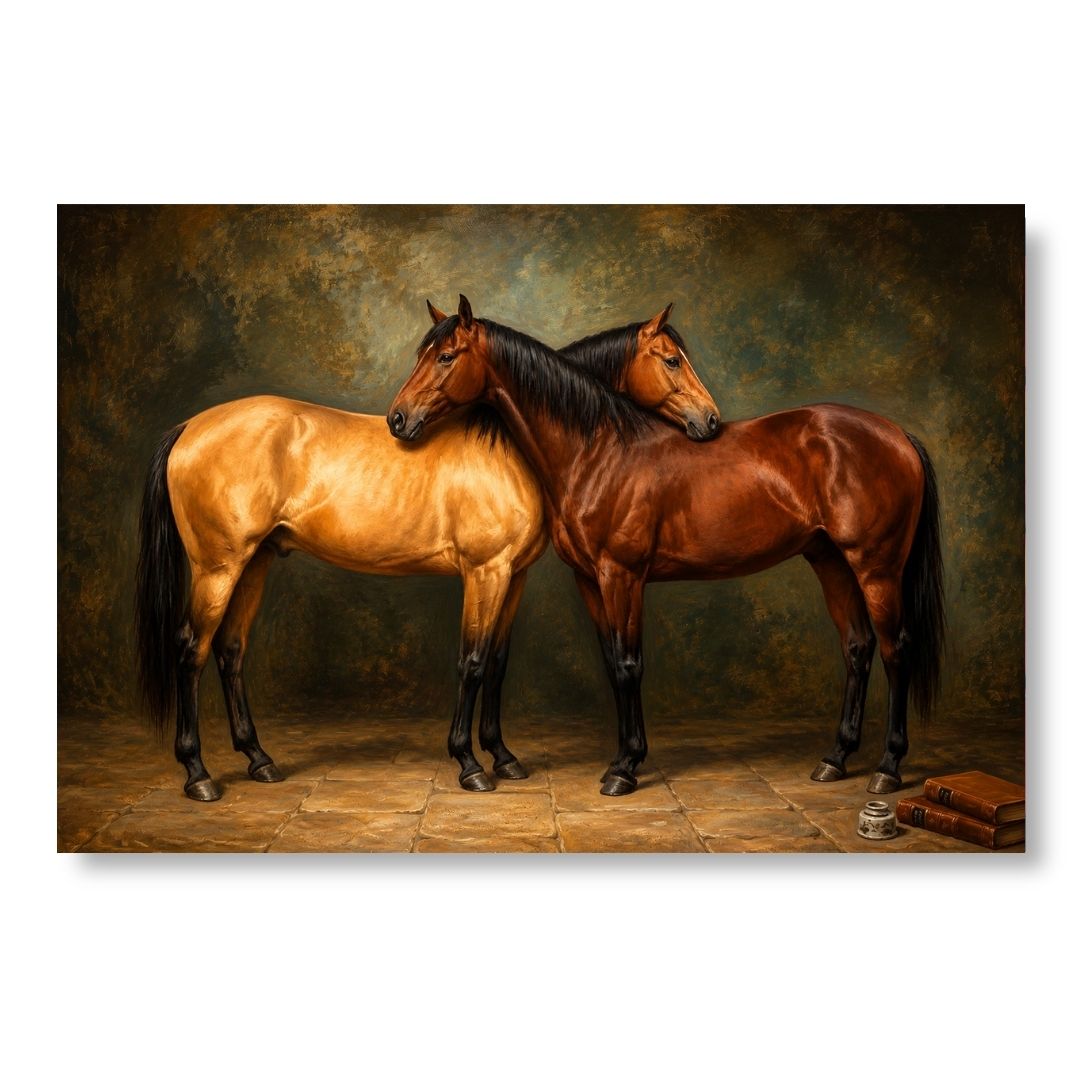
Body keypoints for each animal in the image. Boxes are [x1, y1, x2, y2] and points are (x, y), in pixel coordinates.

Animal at [135, 299, 720, 800]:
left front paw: (504, 757)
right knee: (190, 650)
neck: (509, 448)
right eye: (672, 360)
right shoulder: (485, 572)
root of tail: (189, 426)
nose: (711, 421)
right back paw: (198, 774)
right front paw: (469, 765)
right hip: (217, 567)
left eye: (443, 356)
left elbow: (498, 662)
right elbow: (473, 661)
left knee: (230, 651)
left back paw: (259, 760)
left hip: (252, 563)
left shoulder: (514, 575)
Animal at [388, 295, 946, 797]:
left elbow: (630, 665)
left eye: (445, 356)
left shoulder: (623, 575)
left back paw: (887, 767)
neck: (600, 450)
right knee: (858, 647)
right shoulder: (590, 579)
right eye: (423, 354)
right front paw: (624, 758)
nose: (398, 418)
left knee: (896, 649)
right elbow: (613, 663)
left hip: (877, 568)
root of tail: (897, 435)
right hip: (832, 562)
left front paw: (624, 769)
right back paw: (835, 759)